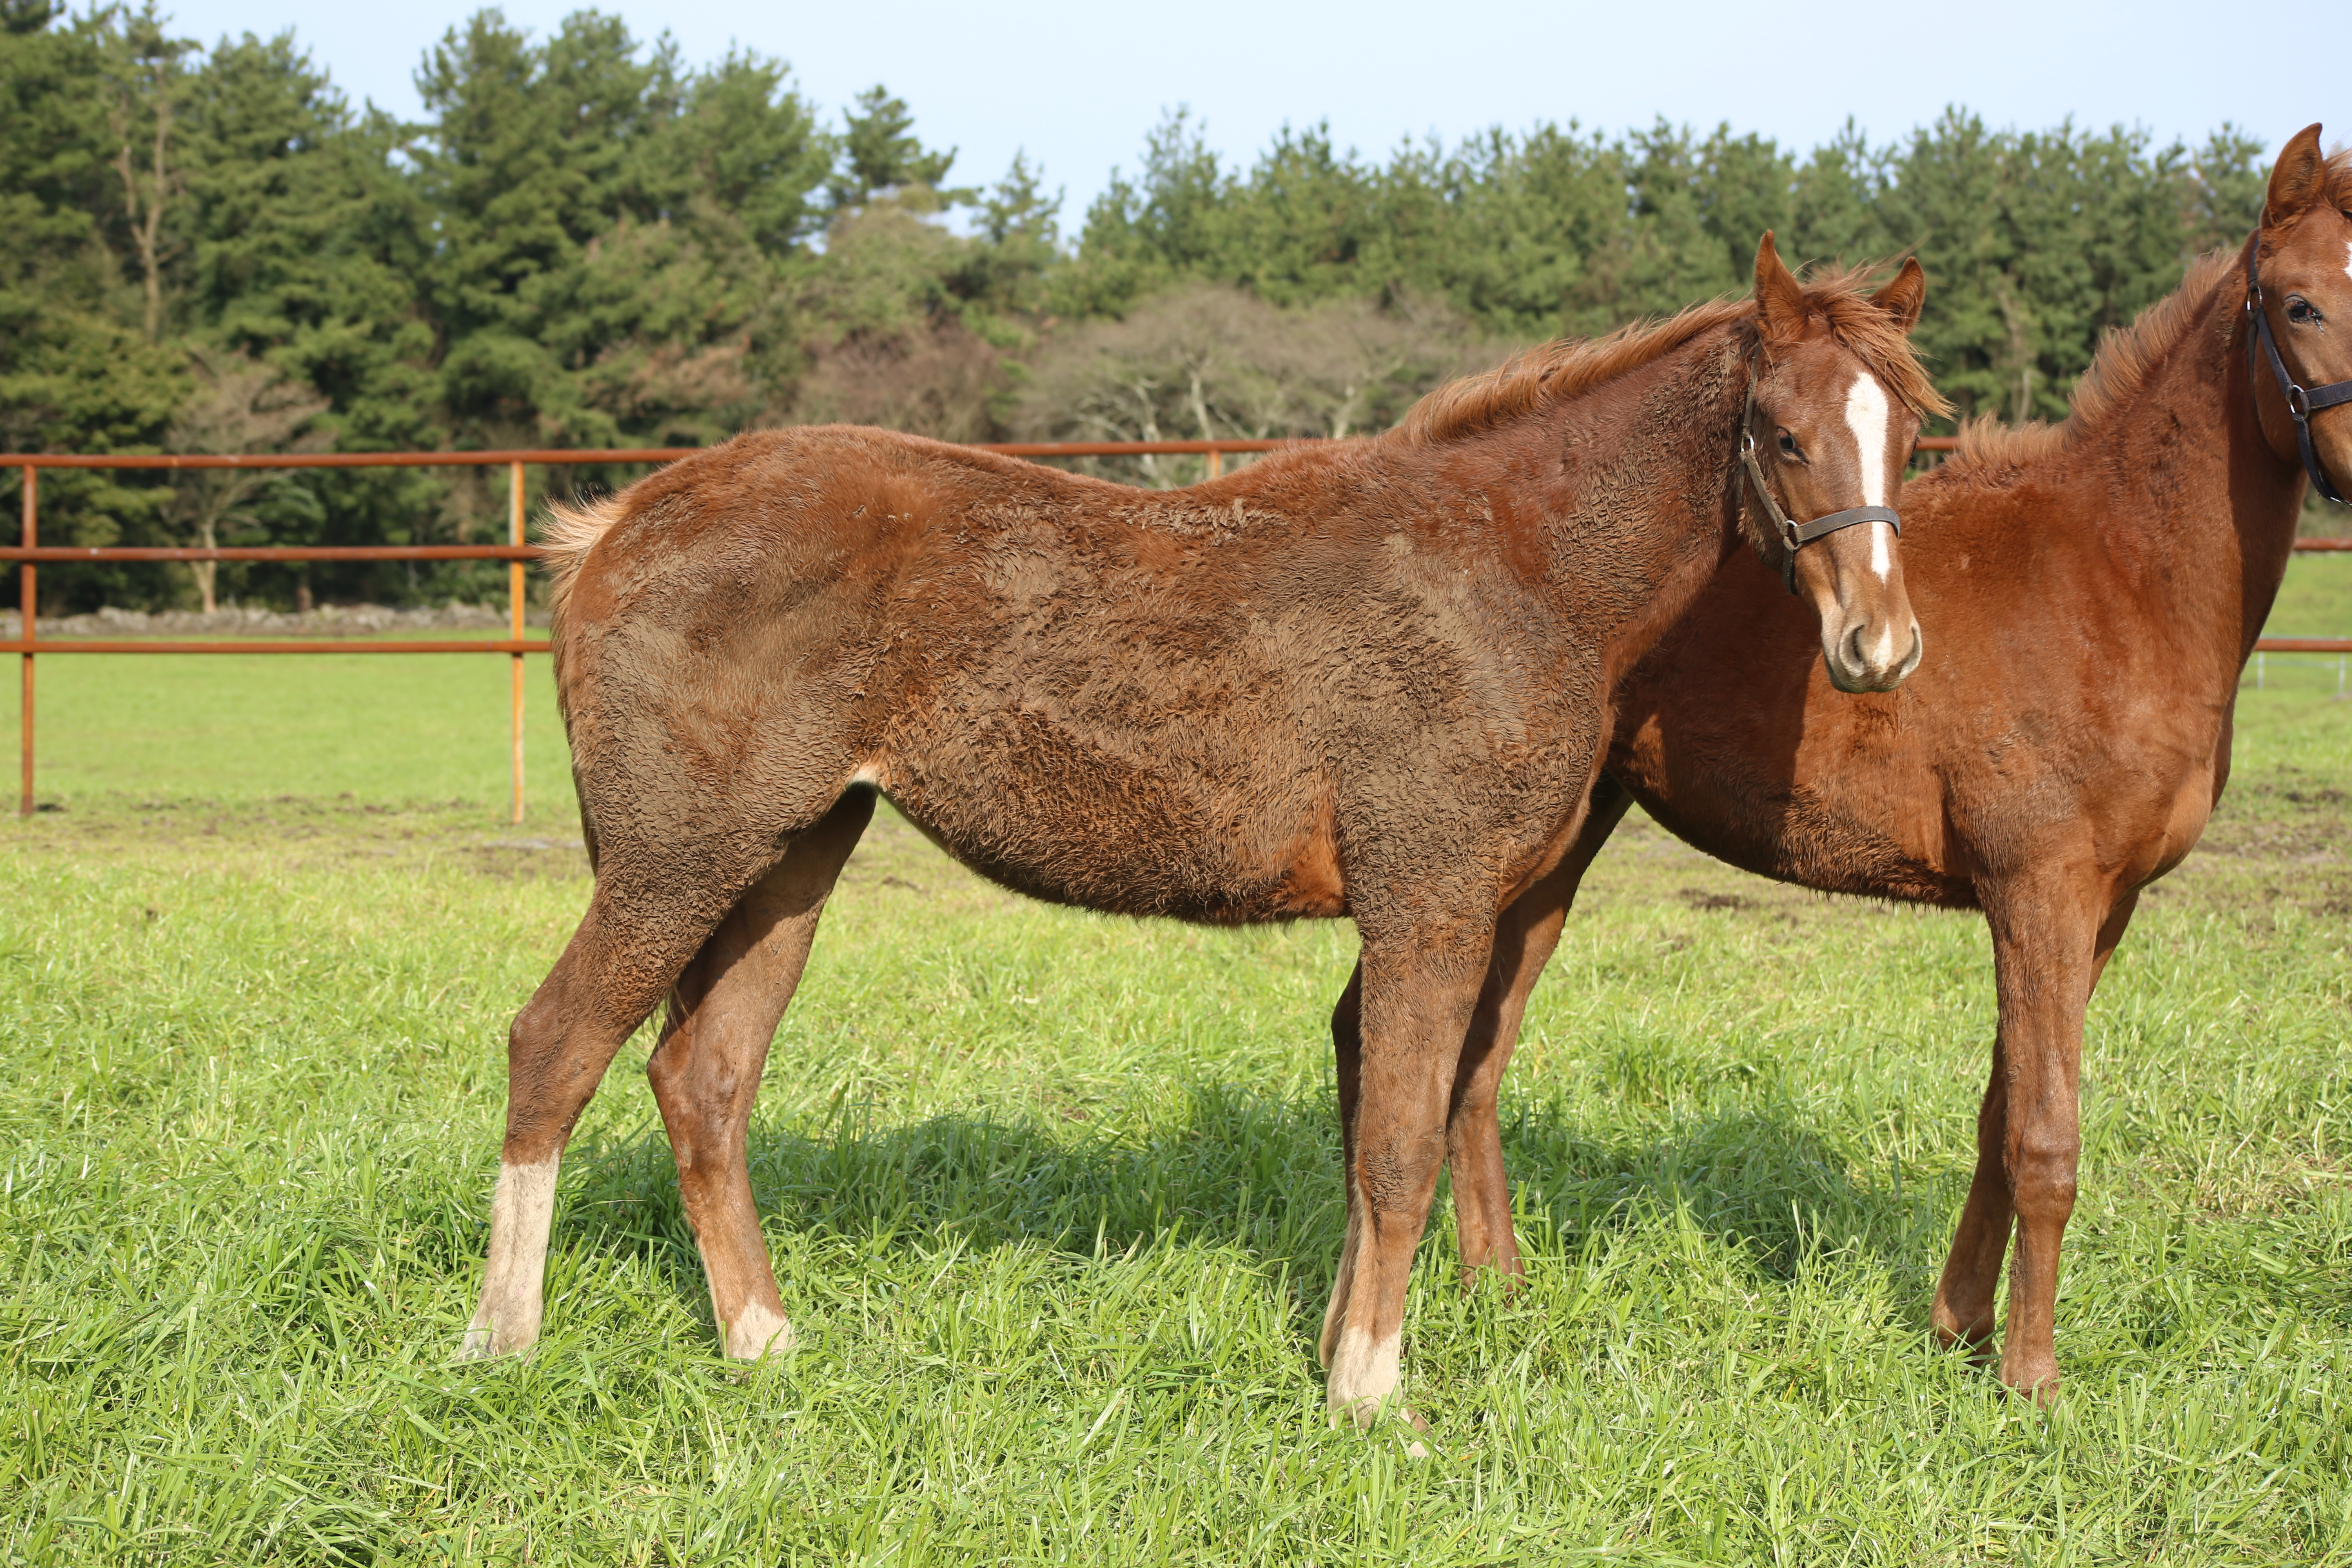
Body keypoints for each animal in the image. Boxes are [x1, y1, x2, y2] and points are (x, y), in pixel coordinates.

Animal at [463, 236, 1947, 1439]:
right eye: (1785, 434)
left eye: (1911, 439)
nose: (1880, 649)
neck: (1509, 570)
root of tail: (618, 524)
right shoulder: (1430, 900)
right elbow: (1400, 1144)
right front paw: (1372, 1397)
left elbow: (1375, 1134)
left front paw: (1343, 1357)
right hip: (679, 859)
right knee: (555, 1048)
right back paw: (502, 1348)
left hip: (790, 856)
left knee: (702, 1079)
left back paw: (766, 1346)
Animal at [1411, 122, 2352, 1401]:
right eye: (2298, 303)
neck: (2118, 581)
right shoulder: (2039, 893)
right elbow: (2046, 1138)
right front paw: (2029, 1380)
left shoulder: (2093, 913)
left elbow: (2001, 1119)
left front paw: (1959, 1325)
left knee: (1479, 1053)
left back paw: (1496, 1286)